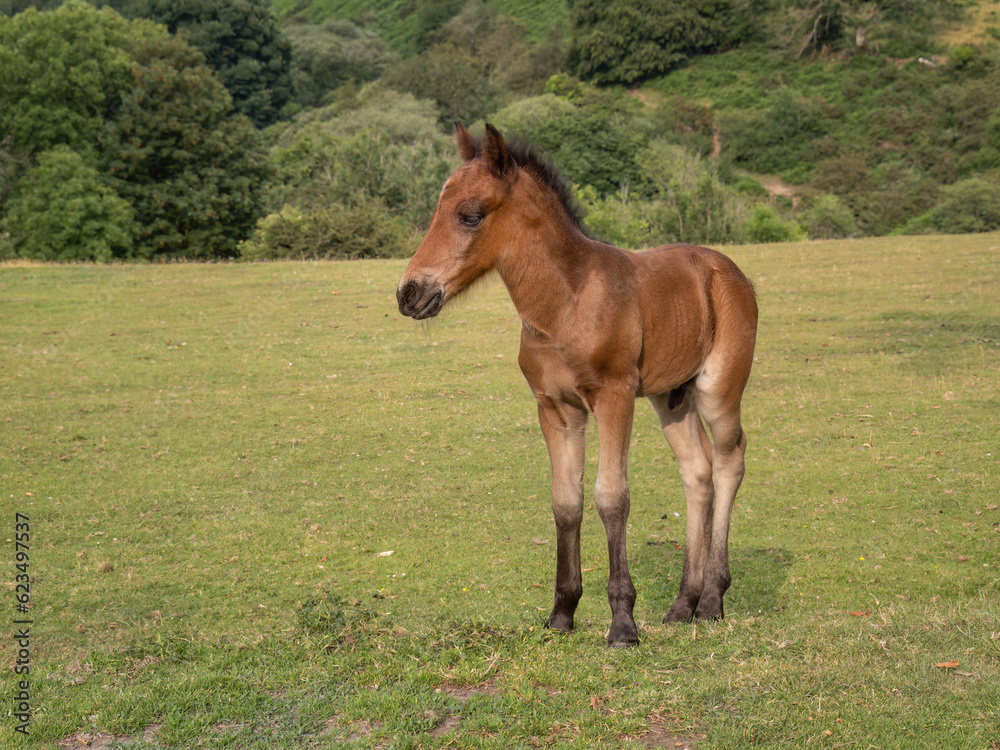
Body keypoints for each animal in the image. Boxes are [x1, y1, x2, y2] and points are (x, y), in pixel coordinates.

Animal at [397, 123, 758, 647]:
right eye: (436, 212)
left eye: (470, 215)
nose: (409, 293)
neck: (565, 302)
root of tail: (730, 271)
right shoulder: (555, 409)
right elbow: (566, 502)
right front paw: (561, 613)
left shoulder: (614, 396)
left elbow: (611, 497)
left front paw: (623, 624)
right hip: (671, 399)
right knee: (698, 473)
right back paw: (682, 604)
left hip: (718, 392)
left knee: (730, 462)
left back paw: (712, 600)